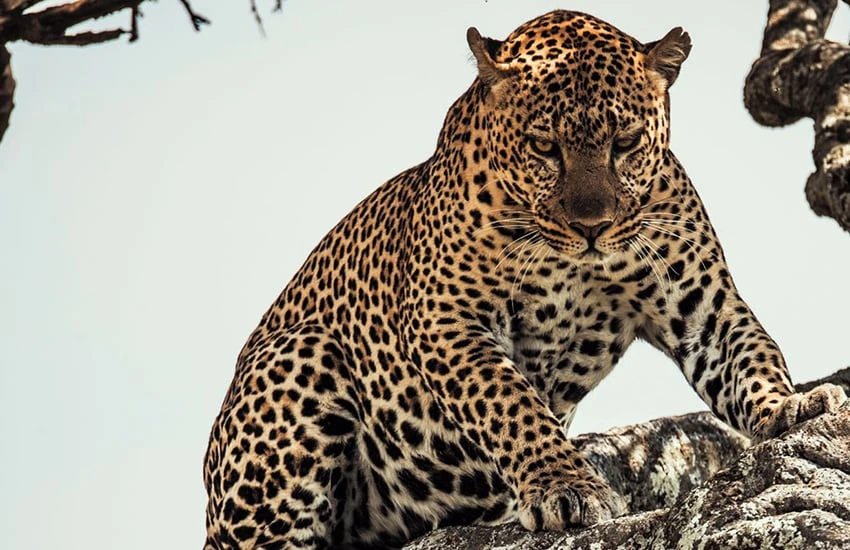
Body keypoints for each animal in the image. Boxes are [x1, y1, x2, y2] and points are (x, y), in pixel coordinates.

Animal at [202, 9, 844, 550]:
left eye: (626, 143)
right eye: (544, 145)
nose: (592, 225)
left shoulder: (702, 307)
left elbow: (753, 354)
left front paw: (789, 406)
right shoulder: (446, 319)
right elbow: (511, 406)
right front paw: (567, 487)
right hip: (300, 357)